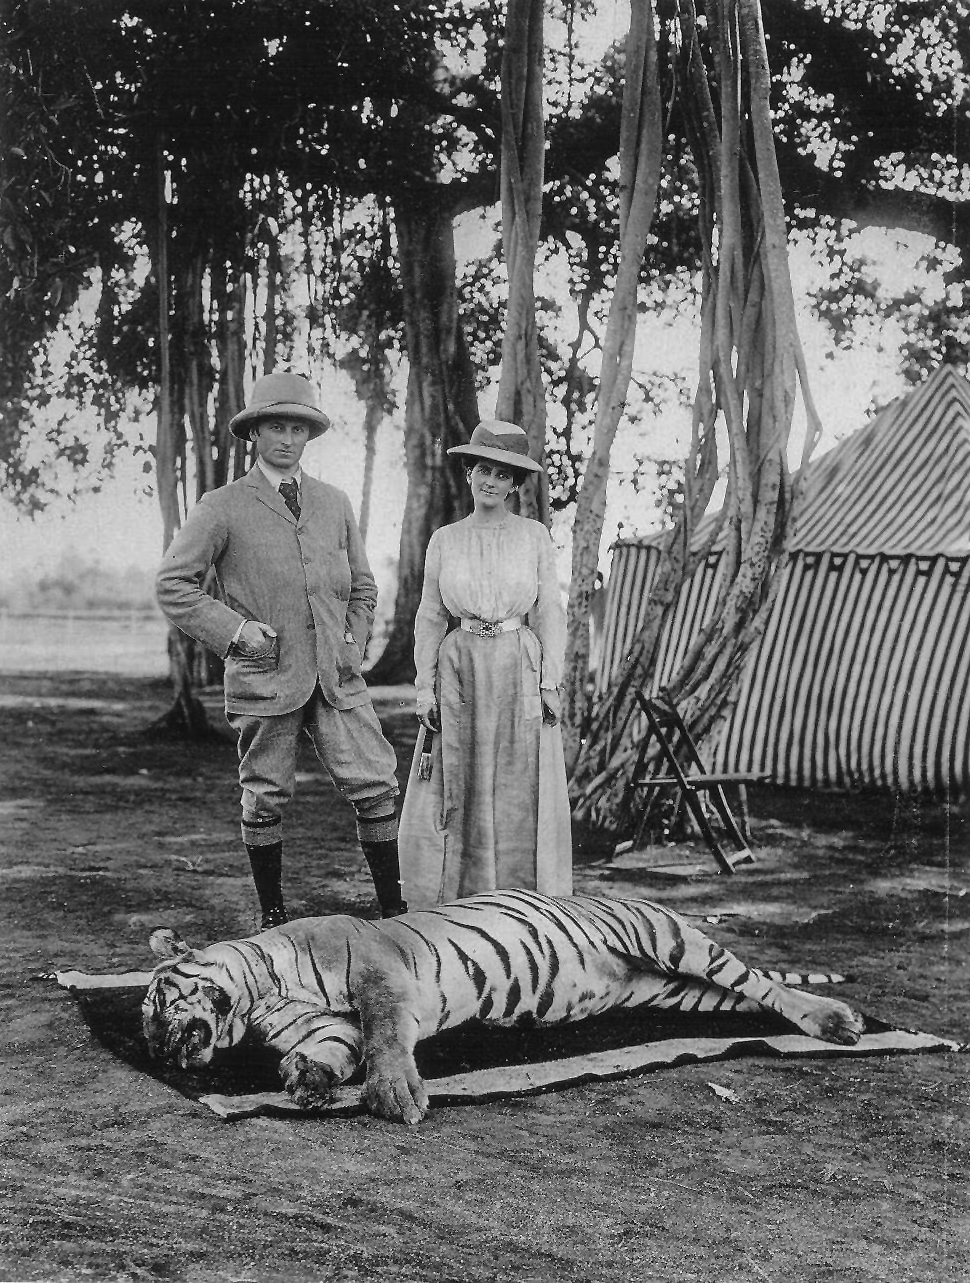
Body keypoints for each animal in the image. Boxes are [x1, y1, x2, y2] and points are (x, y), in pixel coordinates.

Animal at [141, 892, 862, 1123]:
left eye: (155, 1005)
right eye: (149, 1034)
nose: (164, 1049)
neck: (258, 995)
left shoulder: (380, 973)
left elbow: (384, 1037)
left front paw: (397, 1096)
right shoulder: (330, 1026)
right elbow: (337, 1049)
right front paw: (308, 1079)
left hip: (674, 939)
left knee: (761, 983)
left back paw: (837, 1019)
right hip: (680, 990)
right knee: (746, 998)